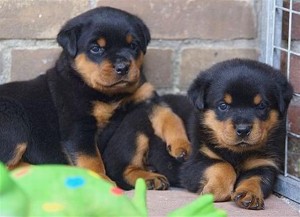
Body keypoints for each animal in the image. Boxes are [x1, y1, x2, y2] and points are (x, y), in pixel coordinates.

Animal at [0, 6, 190, 183]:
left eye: (133, 45)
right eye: (96, 48)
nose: (122, 67)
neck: (110, 94)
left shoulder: (147, 97)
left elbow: (170, 116)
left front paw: (182, 145)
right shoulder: (79, 124)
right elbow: (91, 159)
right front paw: (102, 181)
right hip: (14, 118)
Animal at [179, 58, 294, 209]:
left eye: (261, 105)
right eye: (223, 106)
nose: (243, 129)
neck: (237, 153)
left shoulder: (264, 163)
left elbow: (255, 178)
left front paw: (249, 194)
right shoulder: (194, 163)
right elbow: (222, 165)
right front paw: (216, 189)